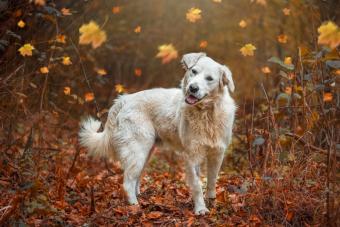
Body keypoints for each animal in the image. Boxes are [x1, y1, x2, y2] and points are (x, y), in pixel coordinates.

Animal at [78, 52, 235, 215]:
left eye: (209, 78)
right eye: (194, 71)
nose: (193, 88)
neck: (207, 114)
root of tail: (124, 99)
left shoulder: (217, 153)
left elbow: (212, 180)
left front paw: (212, 202)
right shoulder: (193, 155)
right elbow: (197, 186)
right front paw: (200, 209)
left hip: (146, 152)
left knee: (135, 178)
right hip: (137, 151)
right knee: (127, 182)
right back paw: (134, 206)